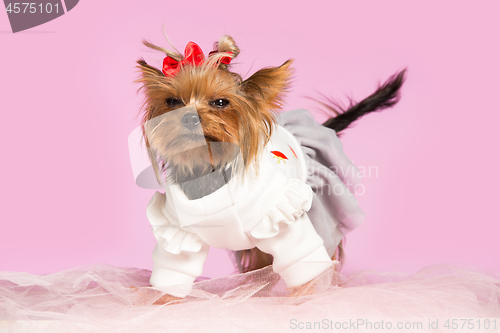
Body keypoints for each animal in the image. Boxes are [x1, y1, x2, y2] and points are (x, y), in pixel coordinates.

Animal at [137, 34, 406, 300]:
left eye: (221, 102)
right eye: (172, 101)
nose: (189, 117)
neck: (208, 167)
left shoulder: (280, 215)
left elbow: (303, 262)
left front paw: (309, 299)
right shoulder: (179, 232)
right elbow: (174, 270)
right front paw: (161, 302)